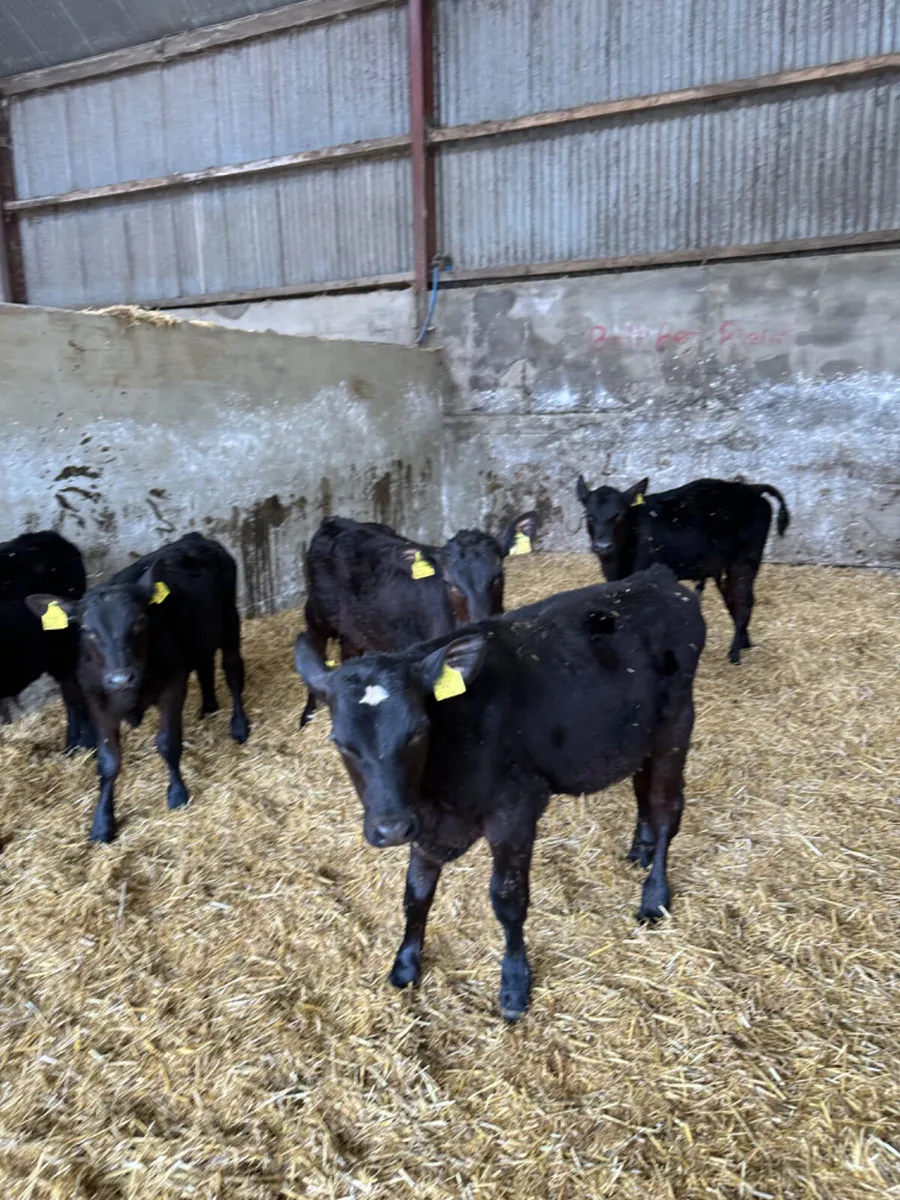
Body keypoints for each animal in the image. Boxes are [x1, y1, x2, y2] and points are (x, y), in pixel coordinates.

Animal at [27, 533, 249, 843]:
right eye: (87, 630)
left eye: (140, 621)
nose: (121, 678)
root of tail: (195, 538)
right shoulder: (96, 700)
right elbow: (108, 762)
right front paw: (102, 823)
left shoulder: (172, 686)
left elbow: (168, 742)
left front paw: (177, 794)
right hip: (200, 636)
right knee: (205, 664)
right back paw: (208, 708)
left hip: (230, 622)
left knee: (233, 671)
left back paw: (239, 725)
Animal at [295, 563, 705, 1021]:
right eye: (341, 742)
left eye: (418, 730)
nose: (391, 829)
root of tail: (655, 576)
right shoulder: (426, 825)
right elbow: (415, 895)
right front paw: (405, 964)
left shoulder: (515, 811)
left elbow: (508, 900)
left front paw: (513, 985)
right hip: (636, 735)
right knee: (642, 791)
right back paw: (640, 850)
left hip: (675, 727)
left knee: (667, 809)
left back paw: (654, 897)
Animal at [299, 511, 540, 726]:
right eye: (449, 583)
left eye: (498, 575)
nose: (481, 619)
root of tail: (333, 522)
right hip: (317, 613)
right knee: (314, 645)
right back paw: (308, 714)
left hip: (354, 627)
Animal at [576, 475, 790, 664]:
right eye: (589, 515)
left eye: (619, 514)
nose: (603, 546)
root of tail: (752, 488)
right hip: (723, 566)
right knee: (734, 600)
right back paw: (745, 643)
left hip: (744, 561)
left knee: (743, 603)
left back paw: (735, 654)